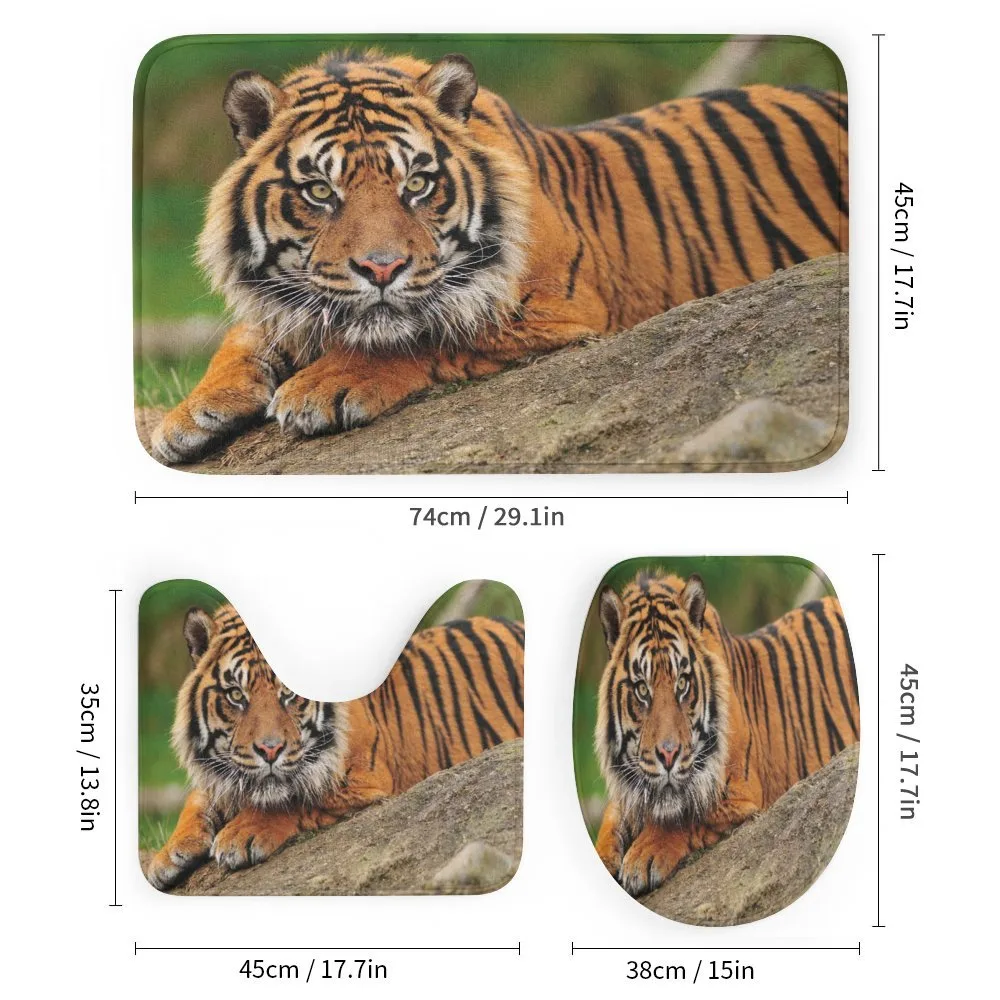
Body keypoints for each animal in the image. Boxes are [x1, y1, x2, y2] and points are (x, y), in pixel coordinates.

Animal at [144, 603, 524, 890]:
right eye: (236, 695)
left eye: (290, 694)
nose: (270, 751)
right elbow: (198, 799)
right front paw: (168, 855)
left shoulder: (363, 781)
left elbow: (295, 799)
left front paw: (240, 835)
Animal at [150, 48, 848, 463]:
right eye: (321, 192)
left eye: (417, 184)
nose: (381, 269)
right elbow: (247, 336)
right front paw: (188, 415)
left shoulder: (557, 310)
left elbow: (424, 332)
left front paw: (324, 385)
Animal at [594, 572, 858, 896]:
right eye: (642, 689)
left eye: (683, 683)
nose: (668, 755)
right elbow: (609, 825)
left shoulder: (739, 794)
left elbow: (685, 817)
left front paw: (643, 857)